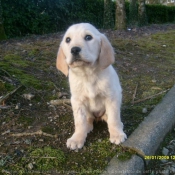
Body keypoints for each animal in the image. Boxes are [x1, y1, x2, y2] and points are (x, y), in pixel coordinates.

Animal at [56, 22, 126, 150]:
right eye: (68, 39)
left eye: (88, 37)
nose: (74, 49)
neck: (87, 74)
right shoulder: (77, 101)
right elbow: (79, 122)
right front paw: (77, 138)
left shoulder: (112, 97)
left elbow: (114, 118)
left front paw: (116, 134)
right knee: (87, 120)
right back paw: (86, 128)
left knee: (111, 118)